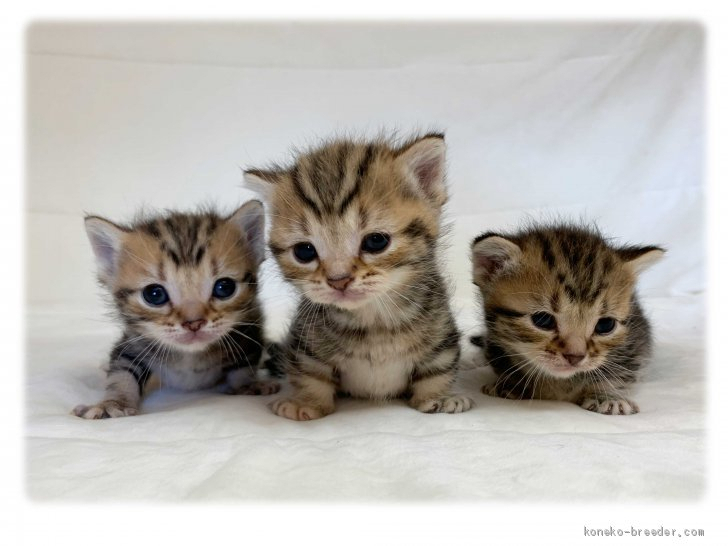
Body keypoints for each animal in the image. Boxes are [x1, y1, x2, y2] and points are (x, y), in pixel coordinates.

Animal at [73, 201, 279, 419]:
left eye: (225, 287)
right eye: (154, 294)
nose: (194, 323)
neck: (190, 357)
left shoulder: (250, 326)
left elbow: (244, 362)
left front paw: (247, 384)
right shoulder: (135, 341)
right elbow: (122, 371)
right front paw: (113, 402)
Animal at [244, 133, 473, 420]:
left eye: (376, 241)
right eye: (304, 251)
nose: (338, 280)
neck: (373, 322)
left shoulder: (441, 332)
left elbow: (437, 368)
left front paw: (438, 397)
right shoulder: (306, 344)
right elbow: (310, 374)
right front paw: (306, 403)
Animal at [471, 223, 664, 415]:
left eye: (605, 325)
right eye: (542, 320)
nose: (575, 357)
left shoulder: (636, 339)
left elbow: (623, 368)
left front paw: (607, 396)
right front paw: (512, 384)